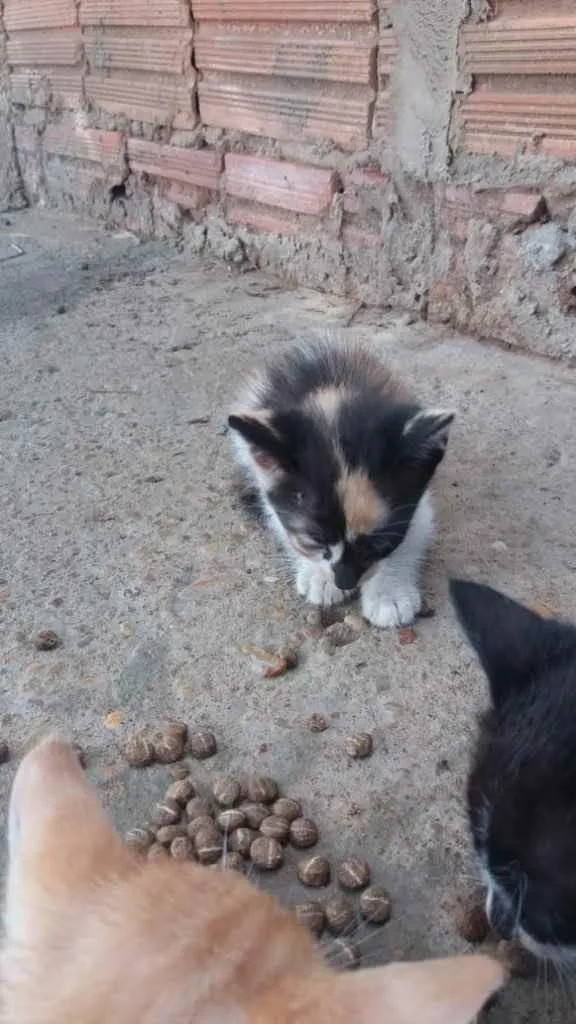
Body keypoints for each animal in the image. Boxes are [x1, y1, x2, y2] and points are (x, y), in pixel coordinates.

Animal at [228, 344, 453, 626]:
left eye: (380, 544)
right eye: (314, 539)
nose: (345, 582)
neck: (334, 393)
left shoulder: (418, 500)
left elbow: (414, 531)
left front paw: (388, 592)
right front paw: (317, 575)